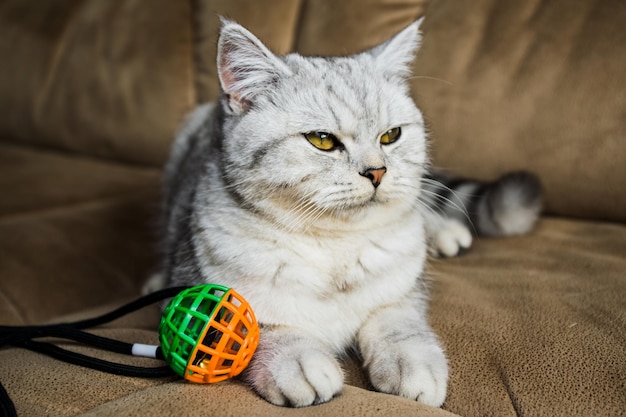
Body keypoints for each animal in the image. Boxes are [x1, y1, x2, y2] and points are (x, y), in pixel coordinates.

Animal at [143, 18, 540, 406]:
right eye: (322, 140)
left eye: (391, 136)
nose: (377, 172)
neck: (334, 244)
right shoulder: (211, 284)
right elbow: (258, 327)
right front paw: (297, 362)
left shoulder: (400, 289)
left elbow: (398, 321)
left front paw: (412, 363)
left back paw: (444, 233)